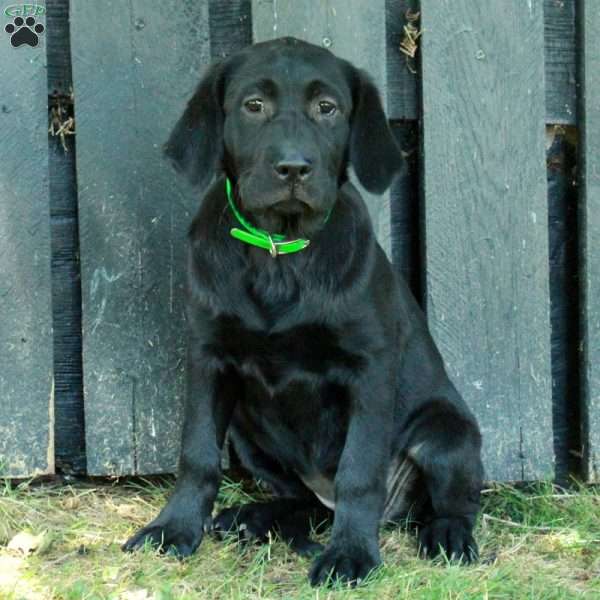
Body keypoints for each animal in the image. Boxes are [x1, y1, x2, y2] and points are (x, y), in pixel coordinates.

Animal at [123, 36, 482, 584]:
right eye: (253, 105)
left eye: (327, 108)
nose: (294, 167)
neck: (280, 251)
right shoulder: (207, 357)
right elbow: (197, 452)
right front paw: (175, 527)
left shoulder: (370, 368)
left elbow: (360, 471)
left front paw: (351, 554)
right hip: (247, 432)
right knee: (304, 503)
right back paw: (253, 518)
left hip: (447, 434)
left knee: (452, 503)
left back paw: (446, 535)